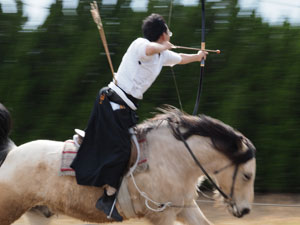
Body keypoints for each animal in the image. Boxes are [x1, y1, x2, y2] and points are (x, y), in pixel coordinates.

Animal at [0, 103, 255, 225]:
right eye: (247, 176)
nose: (245, 210)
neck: (173, 158)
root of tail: (10, 154)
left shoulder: (185, 209)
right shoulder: (162, 216)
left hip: (37, 212)